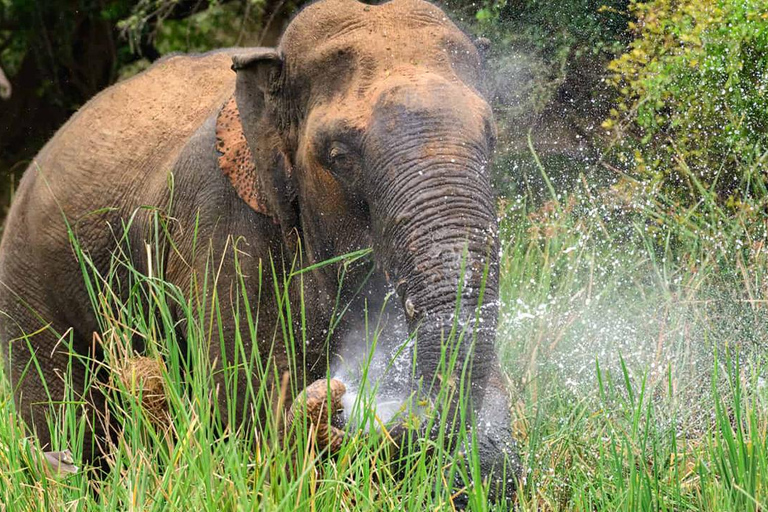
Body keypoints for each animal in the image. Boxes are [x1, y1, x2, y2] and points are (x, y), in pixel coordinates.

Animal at [0, 0, 520, 504]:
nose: (339, 396)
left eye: (492, 137)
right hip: (28, 283)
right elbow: (242, 404)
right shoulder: (220, 224)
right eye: (339, 157)